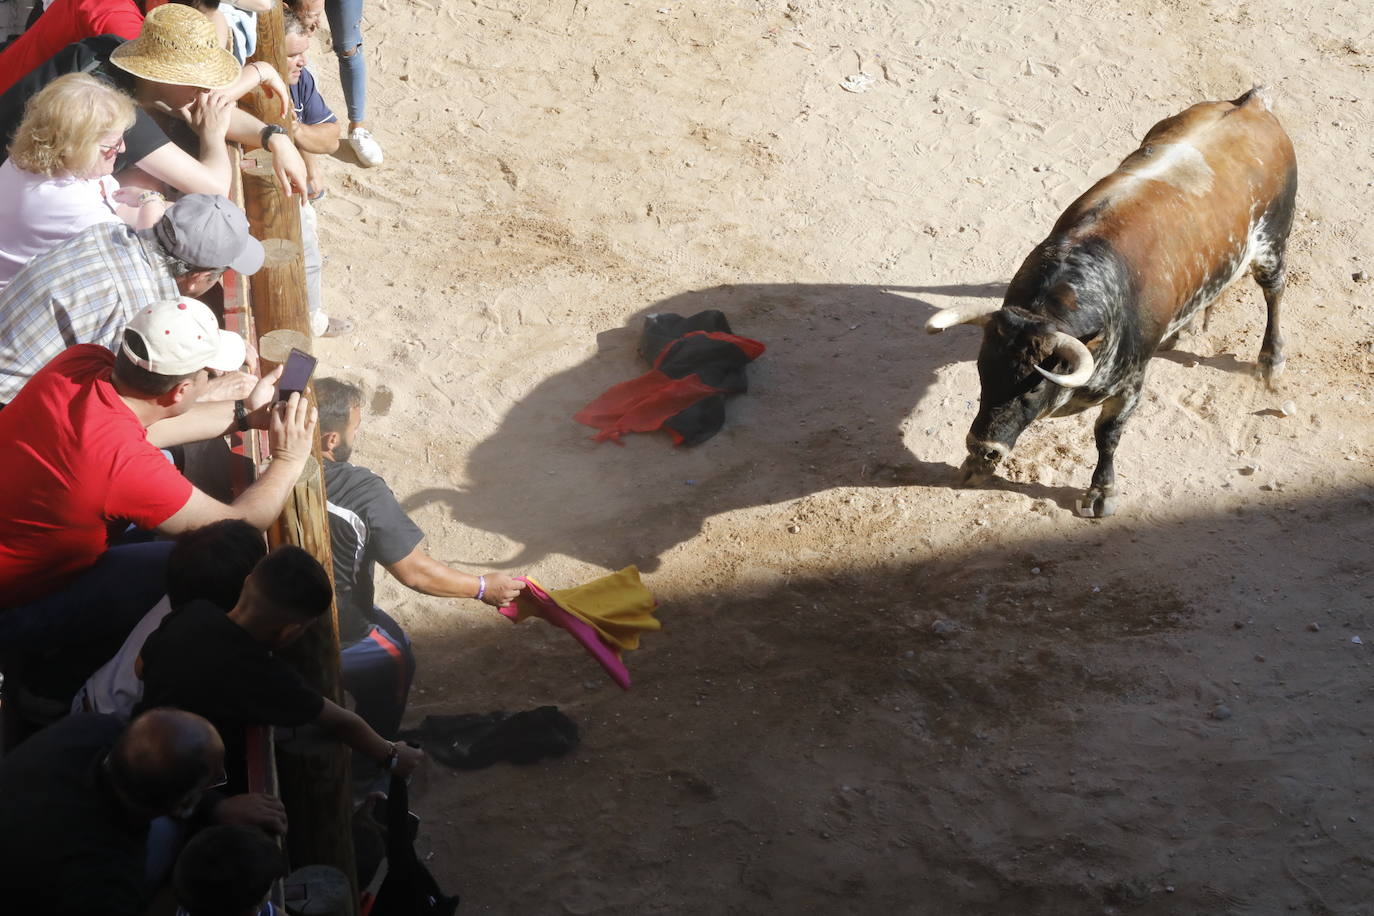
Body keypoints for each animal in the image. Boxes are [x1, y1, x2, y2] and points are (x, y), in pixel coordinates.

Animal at [923, 89, 1297, 519]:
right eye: (983, 374)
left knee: (1274, 294)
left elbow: (1107, 435)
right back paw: (1185, 330)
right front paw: (972, 467)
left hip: (1272, 246)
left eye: (1032, 389)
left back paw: (1271, 360)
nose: (984, 448)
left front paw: (1101, 492)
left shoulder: (1130, 385)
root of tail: (1251, 103)